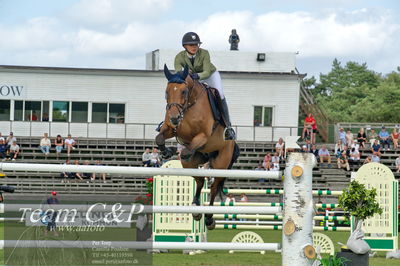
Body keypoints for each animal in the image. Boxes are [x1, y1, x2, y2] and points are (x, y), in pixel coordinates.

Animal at [155, 65, 238, 230]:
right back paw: (195, 207)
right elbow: (159, 137)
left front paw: (175, 151)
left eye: (184, 91)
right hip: (191, 163)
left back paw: (209, 218)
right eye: (167, 92)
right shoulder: (170, 129)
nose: (174, 117)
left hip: (221, 163)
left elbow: (188, 149)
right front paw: (167, 151)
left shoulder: (203, 136)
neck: (189, 106)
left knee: (213, 187)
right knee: (199, 180)